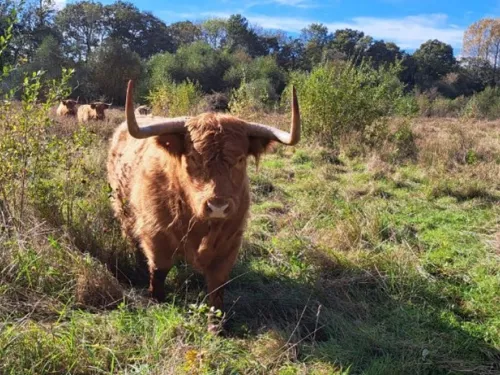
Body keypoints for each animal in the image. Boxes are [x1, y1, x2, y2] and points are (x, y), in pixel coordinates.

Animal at [107, 80, 298, 332]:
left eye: (240, 160)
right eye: (193, 158)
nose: (218, 206)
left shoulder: (230, 242)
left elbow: (217, 283)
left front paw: (216, 324)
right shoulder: (156, 234)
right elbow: (159, 270)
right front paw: (157, 300)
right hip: (122, 210)